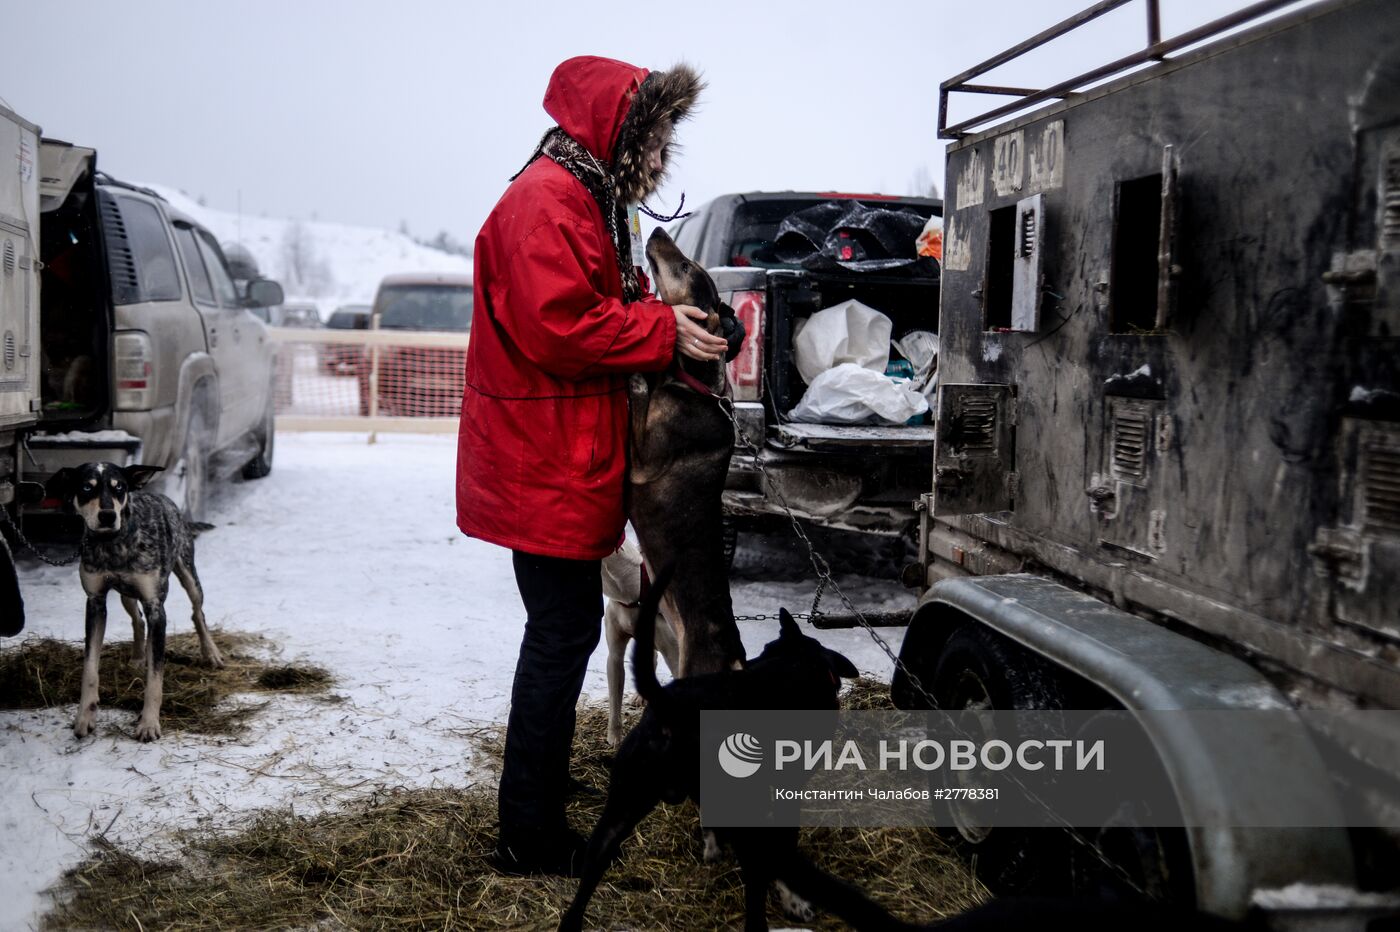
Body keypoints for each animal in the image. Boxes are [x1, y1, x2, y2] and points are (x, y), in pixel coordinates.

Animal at [45, 459, 221, 738]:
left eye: (119, 487)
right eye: (86, 487)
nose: (107, 515)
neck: (113, 544)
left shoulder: (156, 607)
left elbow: (155, 676)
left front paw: (148, 723)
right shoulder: (95, 601)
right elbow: (90, 667)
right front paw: (85, 716)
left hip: (188, 574)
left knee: (197, 612)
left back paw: (211, 652)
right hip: (127, 595)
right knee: (137, 620)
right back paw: (139, 656)